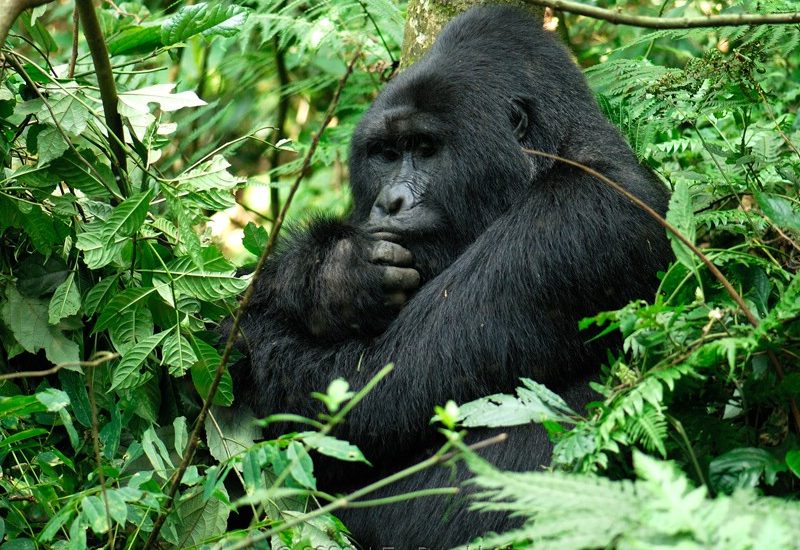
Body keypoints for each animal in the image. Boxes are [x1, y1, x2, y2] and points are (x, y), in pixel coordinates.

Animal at [228, 5, 672, 550]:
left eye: (424, 148)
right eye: (386, 154)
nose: (391, 202)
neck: (555, 154)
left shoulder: (574, 226)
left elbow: (369, 399)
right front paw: (329, 275)